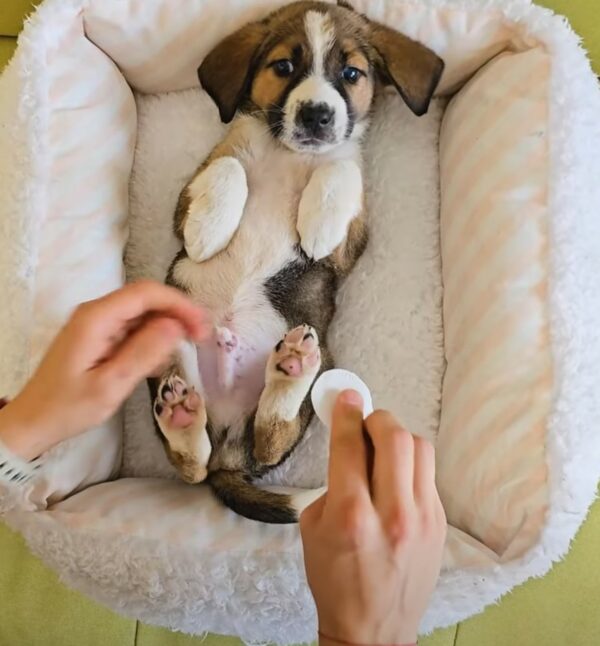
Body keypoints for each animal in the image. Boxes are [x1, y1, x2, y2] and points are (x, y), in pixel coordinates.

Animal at [148, 0, 442, 524]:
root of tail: (228, 444)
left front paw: (318, 221)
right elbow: (229, 167)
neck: (286, 152)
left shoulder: (352, 243)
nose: (317, 115)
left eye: (351, 73)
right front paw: (210, 230)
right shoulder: (189, 192)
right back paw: (187, 415)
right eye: (283, 66)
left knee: (268, 436)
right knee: (193, 463)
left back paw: (291, 371)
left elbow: (341, 166)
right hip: (169, 345)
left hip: (319, 362)